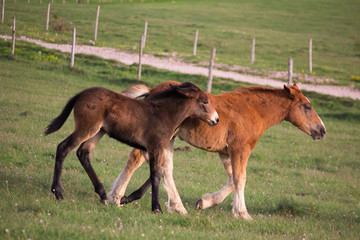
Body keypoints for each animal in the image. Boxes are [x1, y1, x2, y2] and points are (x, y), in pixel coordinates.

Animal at [45, 82, 219, 212]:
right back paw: (58, 192)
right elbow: (156, 174)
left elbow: (160, 172)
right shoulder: (154, 147)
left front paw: (125, 199)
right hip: (86, 129)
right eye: (205, 101)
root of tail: (81, 94)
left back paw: (102, 195)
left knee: (83, 153)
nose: (216, 119)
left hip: (98, 132)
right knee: (63, 148)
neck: (164, 113)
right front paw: (156, 208)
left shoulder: (148, 149)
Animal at [108, 80, 324, 219]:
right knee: (138, 159)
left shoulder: (226, 152)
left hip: (169, 138)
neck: (253, 111)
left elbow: (232, 179)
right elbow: (240, 178)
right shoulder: (240, 149)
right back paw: (117, 197)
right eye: (306, 107)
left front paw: (205, 202)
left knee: (161, 166)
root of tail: (152, 89)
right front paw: (242, 213)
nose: (322, 130)